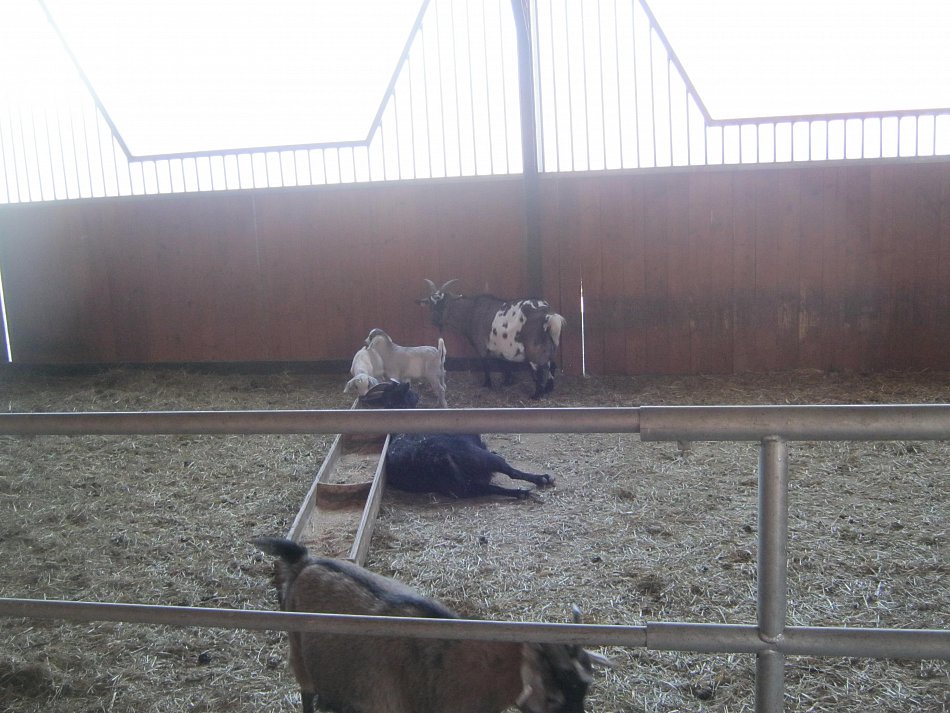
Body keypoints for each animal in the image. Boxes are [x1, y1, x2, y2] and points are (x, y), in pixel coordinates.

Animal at [386, 433, 554, 498]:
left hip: (463, 488)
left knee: (489, 488)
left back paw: (520, 493)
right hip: (482, 458)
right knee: (510, 472)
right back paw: (542, 479)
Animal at [419, 279, 566, 399]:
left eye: (445, 303)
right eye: (430, 303)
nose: (435, 320)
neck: (471, 312)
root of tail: (548, 315)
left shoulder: (481, 345)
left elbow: (486, 364)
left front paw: (487, 384)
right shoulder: (503, 347)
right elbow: (504, 363)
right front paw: (507, 381)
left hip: (534, 350)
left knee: (539, 371)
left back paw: (536, 395)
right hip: (549, 346)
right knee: (552, 364)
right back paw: (548, 389)